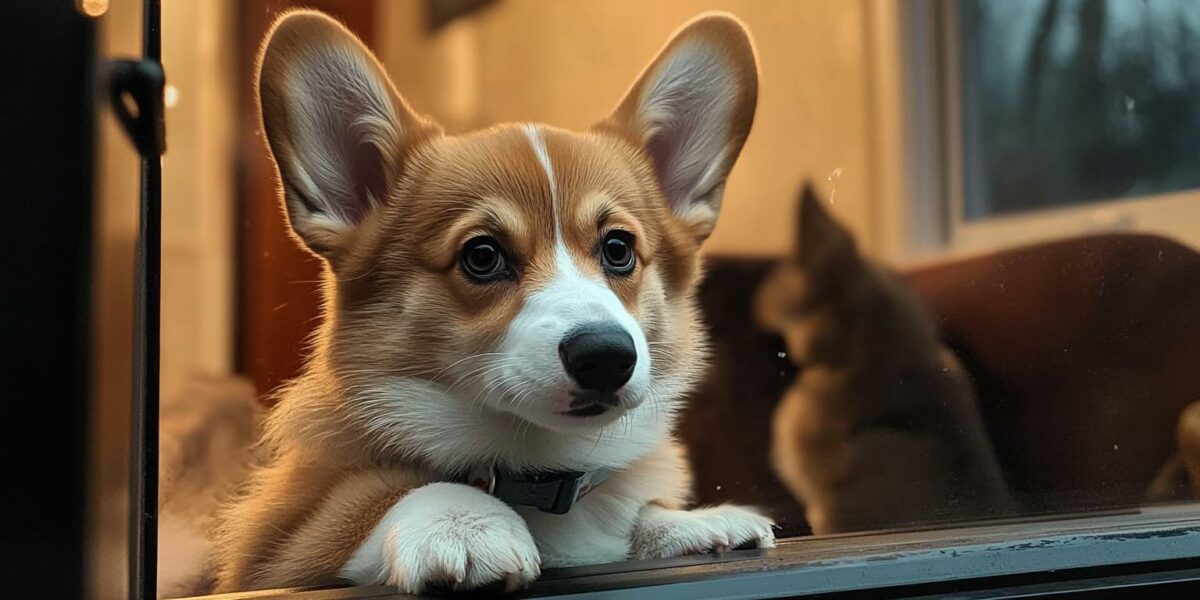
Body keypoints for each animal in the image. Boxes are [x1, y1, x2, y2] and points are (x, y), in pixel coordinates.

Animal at [211, 8, 772, 595]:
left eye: (618, 249)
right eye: (482, 256)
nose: (605, 356)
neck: (538, 467)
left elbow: (637, 512)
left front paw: (687, 523)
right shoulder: (275, 557)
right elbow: (375, 499)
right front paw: (462, 522)